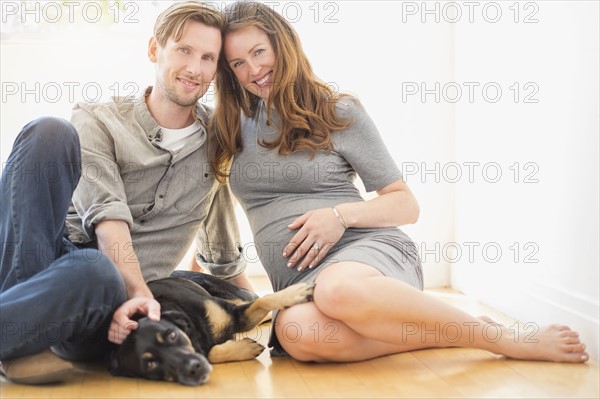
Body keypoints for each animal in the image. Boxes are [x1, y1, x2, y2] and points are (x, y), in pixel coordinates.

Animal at [108, 274, 314, 386]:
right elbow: (212, 352)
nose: (192, 369)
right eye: (151, 364)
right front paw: (245, 348)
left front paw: (295, 293)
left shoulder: (235, 313)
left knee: (259, 300)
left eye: (172, 336)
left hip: (233, 296)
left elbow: (265, 300)